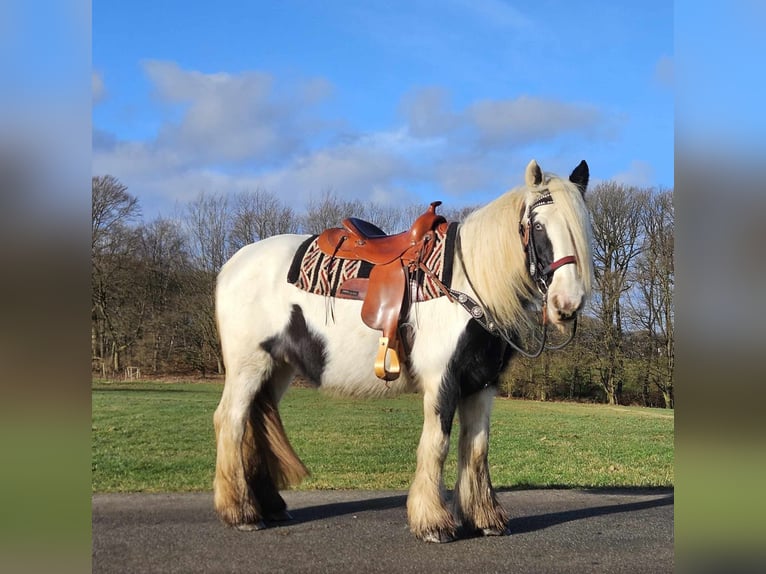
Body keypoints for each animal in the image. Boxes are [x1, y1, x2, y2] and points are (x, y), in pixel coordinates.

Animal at [213, 159, 596, 544]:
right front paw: (433, 523)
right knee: (231, 421)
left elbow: (476, 448)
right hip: (248, 365)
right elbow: (437, 444)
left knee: (255, 424)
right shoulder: (443, 380)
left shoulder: (482, 385)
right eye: (538, 225)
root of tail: (233, 263)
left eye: (582, 228)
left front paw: (485, 519)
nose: (567, 303)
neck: (466, 284)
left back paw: (270, 507)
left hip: (277, 367)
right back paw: (241, 513)